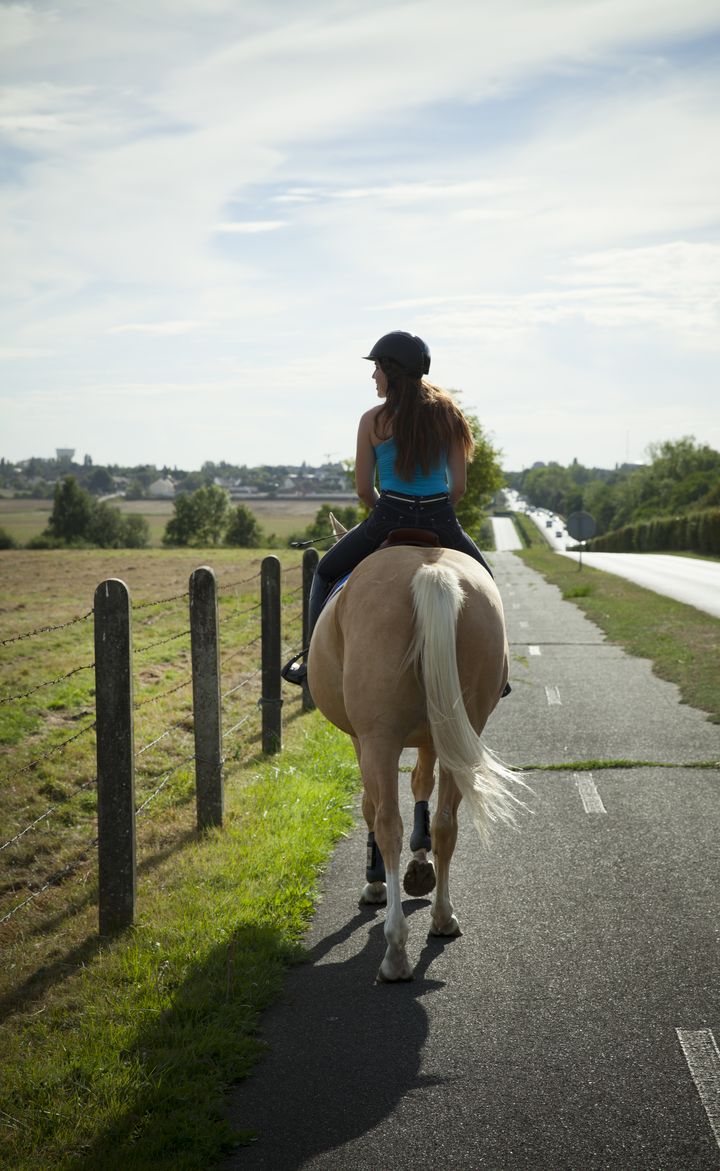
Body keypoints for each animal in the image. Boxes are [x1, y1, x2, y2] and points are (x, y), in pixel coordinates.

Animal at [306, 536, 526, 983]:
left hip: (381, 738)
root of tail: (431, 572)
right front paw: (420, 863)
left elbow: (370, 807)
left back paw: (395, 950)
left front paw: (376, 882)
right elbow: (422, 785)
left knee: (388, 822)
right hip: (460, 727)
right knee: (446, 823)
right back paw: (443, 917)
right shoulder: (433, 735)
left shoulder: (362, 739)